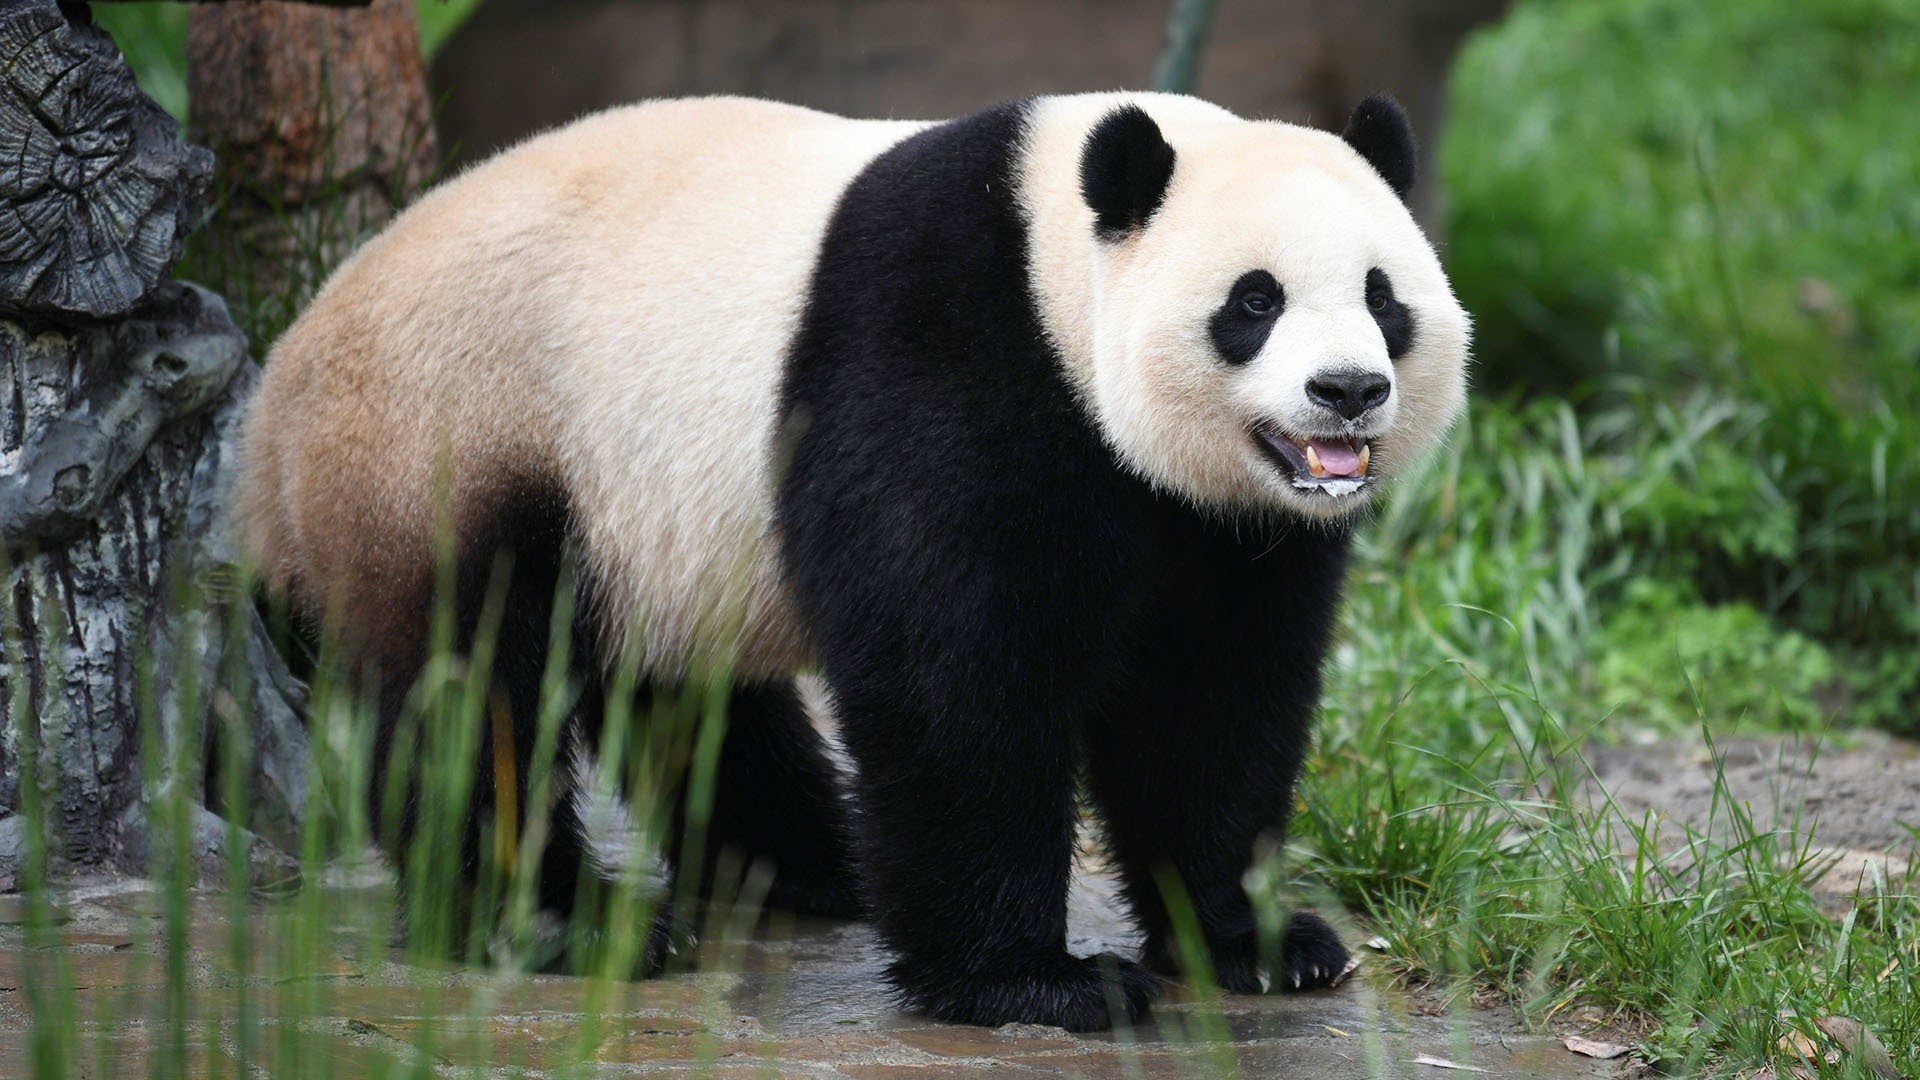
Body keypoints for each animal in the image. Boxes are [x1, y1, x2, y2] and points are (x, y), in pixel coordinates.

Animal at [233, 92, 1470, 1032]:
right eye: (1254, 301)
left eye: (1383, 298)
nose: (1348, 392)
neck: (1055, 264)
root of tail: (273, 407)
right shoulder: (951, 352)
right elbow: (952, 675)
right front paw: (1039, 981)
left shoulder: (1223, 527)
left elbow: (1207, 700)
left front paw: (1254, 939)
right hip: (460, 445)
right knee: (475, 695)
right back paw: (552, 921)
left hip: (648, 527)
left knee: (691, 694)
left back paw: (802, 866)